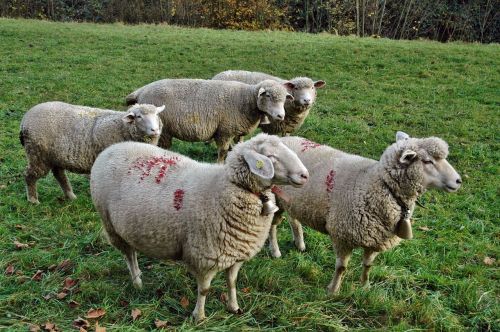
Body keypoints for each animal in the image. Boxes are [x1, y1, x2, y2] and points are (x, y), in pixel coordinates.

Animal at [19, 102, 164, 205]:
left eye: (157, 115)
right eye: (139, 116)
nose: (155, 130)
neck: (122, 127)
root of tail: (24, 120)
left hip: (54, 155)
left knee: (59, 175)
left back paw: (71, 196)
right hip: (38, 154)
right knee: (29, 175)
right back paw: (33, 200)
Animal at [90, 133, 308, 322]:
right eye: (271, 157)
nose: (305, 175)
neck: (228, 188)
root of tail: (112, 148)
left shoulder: (236, 253)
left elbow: (232, 282)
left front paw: (234, 307)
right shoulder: (205, 256)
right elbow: (204, 290)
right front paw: (199, 317)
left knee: (132, 252)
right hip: (111, 225)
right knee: (129, 255)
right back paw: (137, 282)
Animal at [125, 80, 294, 164]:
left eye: (284, 98)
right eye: (268, 96)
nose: (281, 115)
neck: (246, 99)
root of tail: (141, 91)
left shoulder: (238, 131)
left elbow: (238, 146)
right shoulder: (225, 131)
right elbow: (223, 151)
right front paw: (219, 164)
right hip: (162, 129)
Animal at [266, 132, 460, 294]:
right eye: (427, 161)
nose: (459, 181)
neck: (375, 183)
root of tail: (280, 139)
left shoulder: (376, 239)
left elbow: (368, 265)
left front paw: (365, 286)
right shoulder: (343, 235)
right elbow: (341, 268)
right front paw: (333, 290)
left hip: (294, 201)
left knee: (294, 219)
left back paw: (299, 244)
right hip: (275, 198)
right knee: (272, 226)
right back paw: (275, 251)